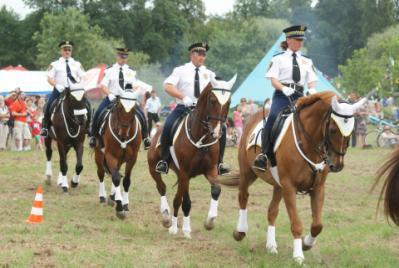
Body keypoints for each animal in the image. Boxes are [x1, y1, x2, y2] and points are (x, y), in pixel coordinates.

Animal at [94, 92, 142, 220]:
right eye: (120, 107)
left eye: (134, 109)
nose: (123, 133)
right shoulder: (110, 155)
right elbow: (115, 178)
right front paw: (119, 208)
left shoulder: (132, 158)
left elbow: (126, 180)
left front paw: (125, 205)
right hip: (99, 154)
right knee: (101, 173)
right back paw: (103, 197)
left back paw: (112, 197)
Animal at [148, 74, 236, 238]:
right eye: (212, 100)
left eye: (229, 102)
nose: (217, 132)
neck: (201, 137)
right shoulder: (185, 172)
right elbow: (182, 200)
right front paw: (177, 229)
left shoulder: (209, 170)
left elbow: (216, 189)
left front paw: (209, 221)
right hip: (155, 168)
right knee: (162, 187)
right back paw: (166, 217)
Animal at [223, 91, 368, 264]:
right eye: (333, 129)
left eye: (351, 131)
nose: (337, 165)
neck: (308, 142)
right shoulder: (289, 187)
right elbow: (296, 224)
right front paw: (298, 256)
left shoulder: (317, 188)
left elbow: (317, 225)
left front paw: (306, 244)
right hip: (248, 173)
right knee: (243, 197)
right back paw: (240, 231)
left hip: (278, 185)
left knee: (272, 211)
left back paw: (271, 246)